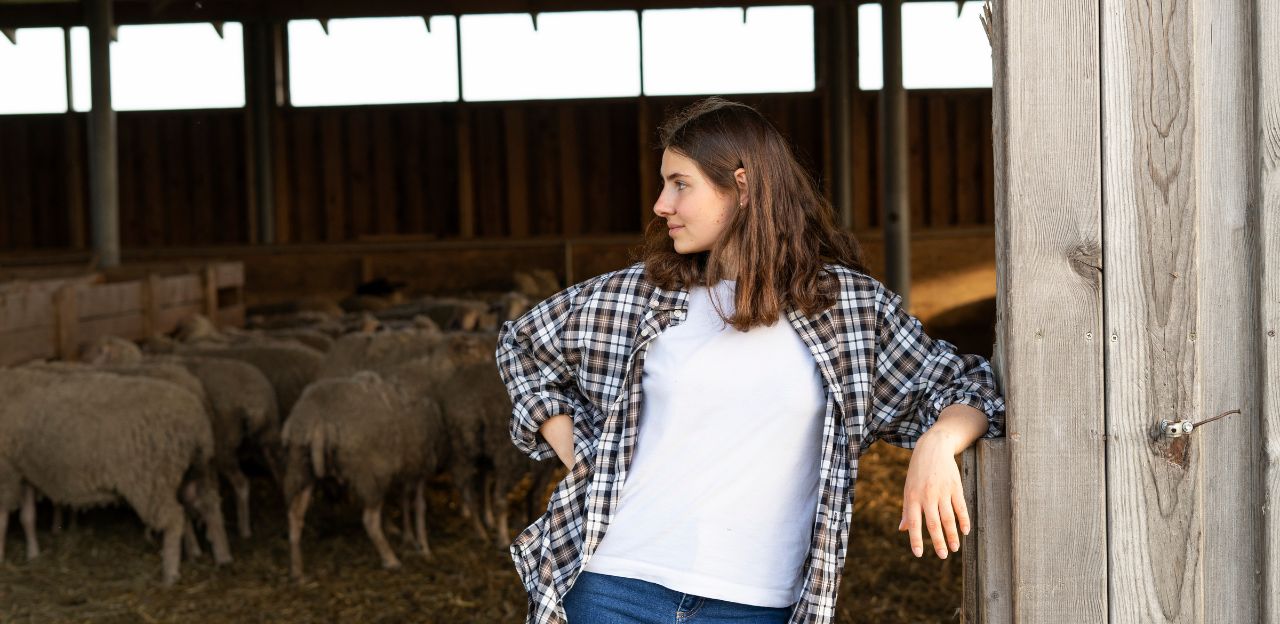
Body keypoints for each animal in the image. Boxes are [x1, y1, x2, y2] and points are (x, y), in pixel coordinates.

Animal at [0, 367, 230, 584]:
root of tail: (198, 423)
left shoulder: (6, 471)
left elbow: (3, 519)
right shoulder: (21, 470)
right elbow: (27, 517)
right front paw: (33, 554)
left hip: (151, 479)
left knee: (174, 518)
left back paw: (170, 574)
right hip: (196, 471)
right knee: (209, 506)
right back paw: (222, 556)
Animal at [281, 371, 445, 580]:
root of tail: (318, 416)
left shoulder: (410, 467)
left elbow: (405, 500)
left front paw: (410, 539)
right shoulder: (422, 464)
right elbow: (419, 505)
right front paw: (423, 547)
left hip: (300, 465)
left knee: (295, 515)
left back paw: (297, 570)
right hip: (370, 472)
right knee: (370, 520)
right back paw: (390, 559)